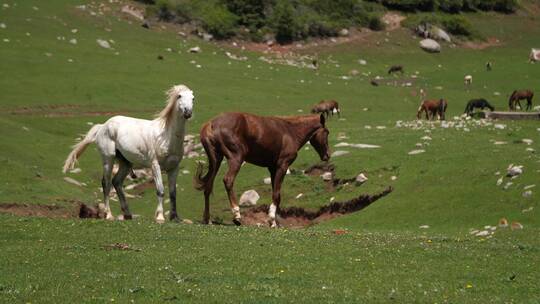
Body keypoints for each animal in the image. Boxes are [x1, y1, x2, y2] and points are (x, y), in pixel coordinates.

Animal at [63, 84, 194, 222]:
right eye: (179, 96)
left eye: (193, 98)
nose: (188, 112)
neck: (165, 136)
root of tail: (103, 126)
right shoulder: (155, 165)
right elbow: (160, 190)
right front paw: (159, 217)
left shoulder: (174, 168)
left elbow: (173, 193)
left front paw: (175, 217)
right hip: (108, 160)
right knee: (106, 184)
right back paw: (109, 215)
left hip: (125, 163)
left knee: (117, 182)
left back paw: (127, 214)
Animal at [194, 111, 330, 226]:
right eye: (327, 132)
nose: (327, 155)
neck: (290, 131)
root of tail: (211, 124)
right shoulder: (282, 166)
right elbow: (277, 194)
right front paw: (272, 221)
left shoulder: (272, 168)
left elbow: (276, 193)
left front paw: (275, 221)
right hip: (236, 159)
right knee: (228, 180)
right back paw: (237, 216)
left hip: (216, 160)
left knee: (208, 186)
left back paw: (207, 219)